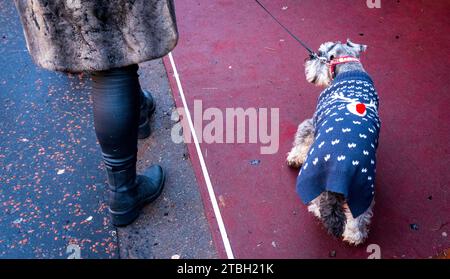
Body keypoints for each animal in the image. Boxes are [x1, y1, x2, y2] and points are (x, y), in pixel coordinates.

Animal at [288, 38, 380, 245]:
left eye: (321, 52)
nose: (309, 57)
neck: (349, 68)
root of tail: (341, 168)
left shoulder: (311, 124)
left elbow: (301, 141)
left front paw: (294, 157)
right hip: (362, 191)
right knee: (359, 217)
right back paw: (354, 235)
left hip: (314, 179)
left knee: (319, 204)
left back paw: (314, 208)